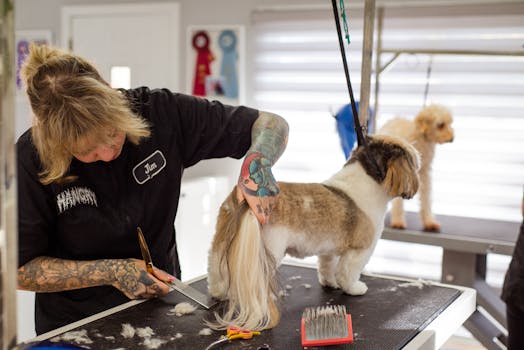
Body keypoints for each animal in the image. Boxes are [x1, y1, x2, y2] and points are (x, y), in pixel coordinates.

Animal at [207, 134, 420, 330]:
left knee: (216, 266)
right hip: (267, 249)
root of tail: (249, 202)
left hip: (223, 238)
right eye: (415, 164)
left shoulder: (329, 249)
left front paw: (330, 282)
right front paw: (354, 288)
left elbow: (327, 267)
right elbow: (347, 273)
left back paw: (218, 291)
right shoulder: (359, 249)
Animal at [376, 102, 454, 231]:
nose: (452, 138)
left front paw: (429, 222)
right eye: (440, 125)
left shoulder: (425, 173)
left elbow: (426, 199)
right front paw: (398, 221)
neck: (420, 137)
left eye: (449, 123)